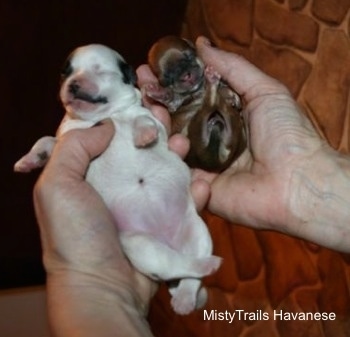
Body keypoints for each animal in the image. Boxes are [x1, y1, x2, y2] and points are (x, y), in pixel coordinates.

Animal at [14, 43, 221, 314]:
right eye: (65, 73)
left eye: (100, 71)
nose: (73, 84)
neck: (102, 117)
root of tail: (169, 241)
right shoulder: (66, 139)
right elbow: (46, 140)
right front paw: (28, 160)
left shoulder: (148, 118)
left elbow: (143, 119)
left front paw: (143, 135)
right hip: (141, 246)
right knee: (177, 265)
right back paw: (191, 289)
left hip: (197, 231)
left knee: (191, 272)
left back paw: (193, 287)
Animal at [143, 35, 246, 172]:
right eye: (167, 78)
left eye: (189, 56)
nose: (186, 76)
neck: (199, 90)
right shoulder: (175, 104)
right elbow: (170, 97)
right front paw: (158, 92)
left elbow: (225, 87)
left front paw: (231, 95)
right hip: (199, 127)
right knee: (209, 104)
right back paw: (211, 82)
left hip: (232, 125)